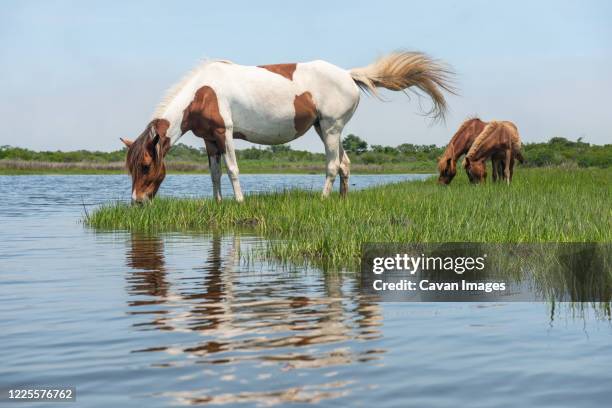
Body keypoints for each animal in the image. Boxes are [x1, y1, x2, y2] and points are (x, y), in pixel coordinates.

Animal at [120, 51, 454, 203]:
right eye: (132, 167)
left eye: (146, 165)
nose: (137, 201)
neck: (203, 92)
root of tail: (348, 75)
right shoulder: (209, 140)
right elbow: (214, 173)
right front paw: (217, 203)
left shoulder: (225, 134)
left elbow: (232, 169)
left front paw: (239, 202)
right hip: (328, 130)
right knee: (345, 163)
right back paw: (342, 200)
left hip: (330, 129)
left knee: (333, 165)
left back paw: (323, 199)